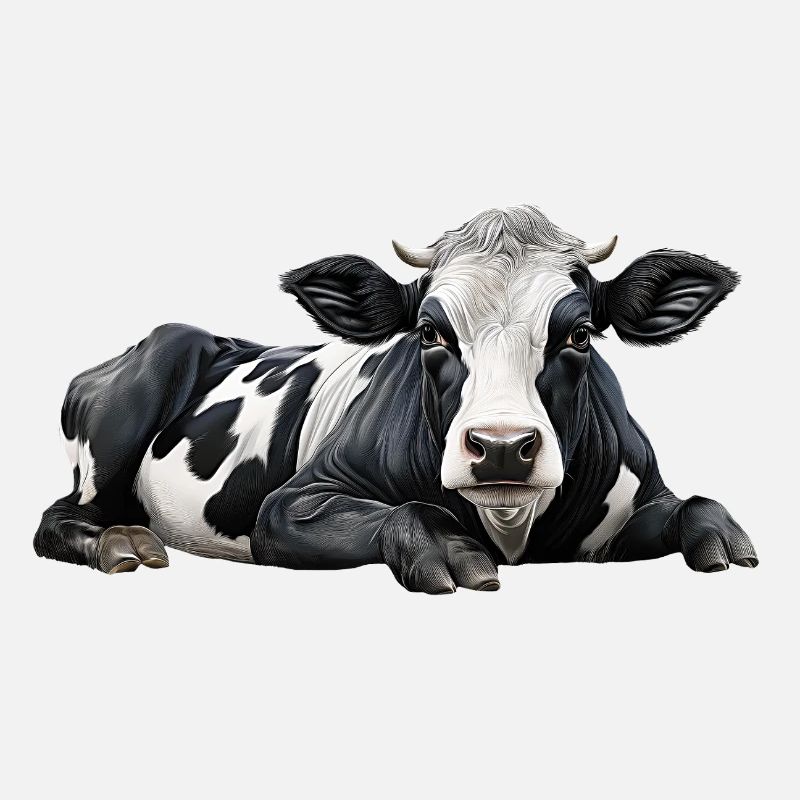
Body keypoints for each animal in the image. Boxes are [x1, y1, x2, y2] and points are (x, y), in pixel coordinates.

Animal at [34, 205, 757, 592]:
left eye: (579, 334)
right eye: (430, 333)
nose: (501, 448)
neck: (511, 529)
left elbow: (700, 504)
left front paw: (730, 545)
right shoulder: (286, 507)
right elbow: (406, 513)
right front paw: (449, 552)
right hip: (120, 430)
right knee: (56, 520)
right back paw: (122, 543)